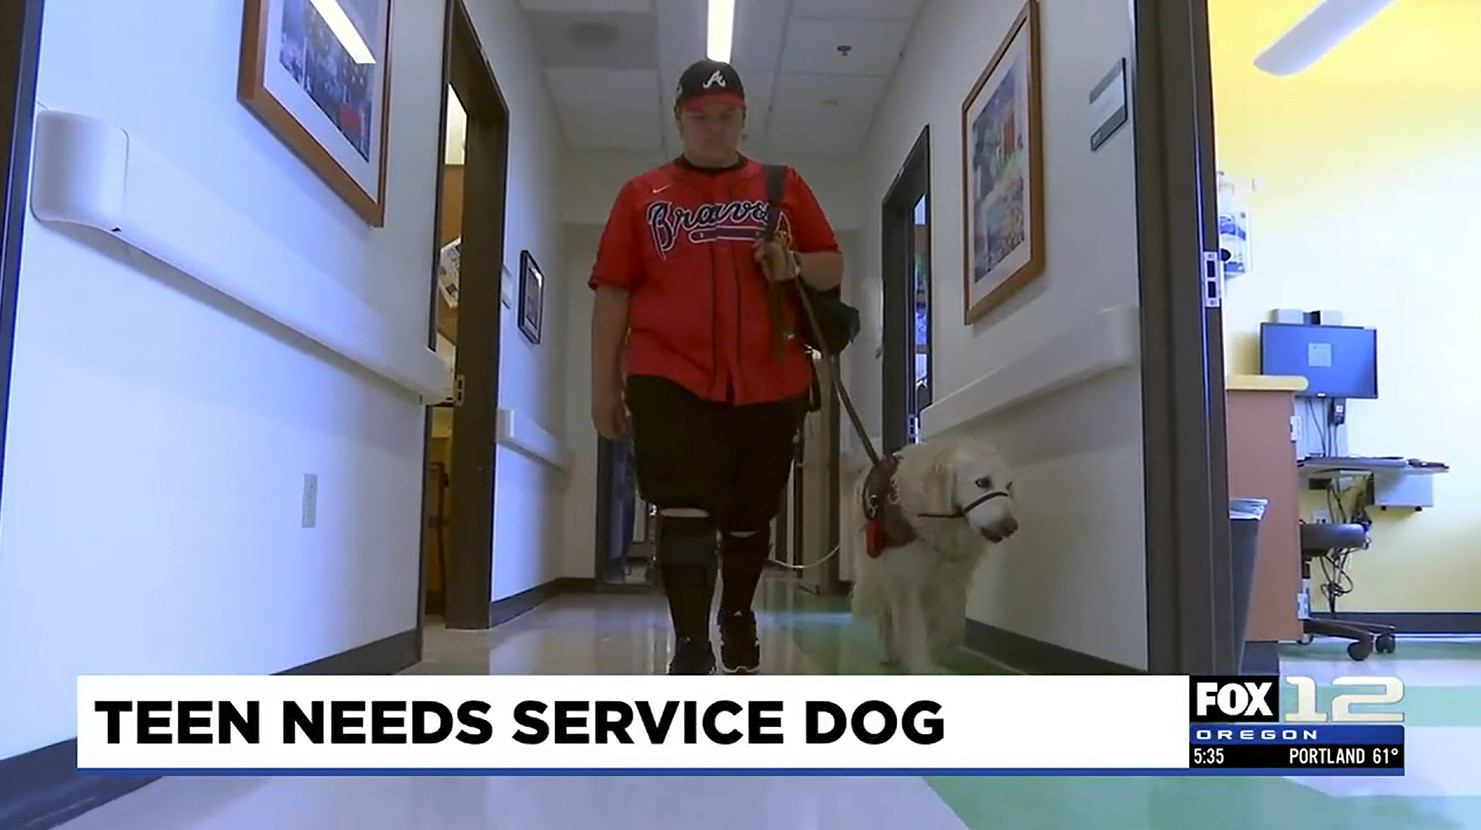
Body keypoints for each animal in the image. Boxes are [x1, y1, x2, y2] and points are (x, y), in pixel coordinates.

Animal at [847, 435, 1018, 675]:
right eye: (983, 482)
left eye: (1008, 486)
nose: (1011, 526)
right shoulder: (908, 580)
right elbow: (915, 629)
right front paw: (922, 665)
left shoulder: (946, 582)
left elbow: (943, 625)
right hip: (876, 568)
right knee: (885, 612)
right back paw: (886, 651)